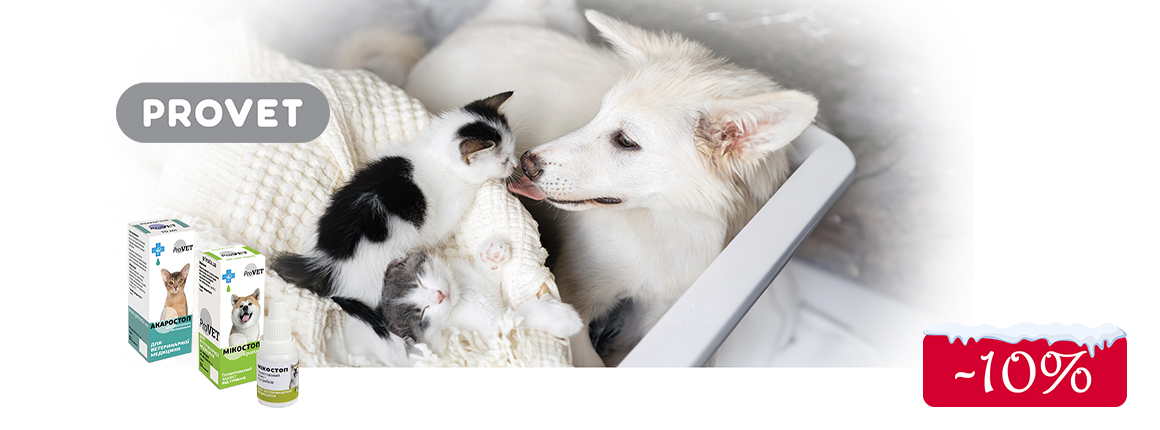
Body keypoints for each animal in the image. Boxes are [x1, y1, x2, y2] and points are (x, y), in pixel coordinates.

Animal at [360, 0, 818, 366]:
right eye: (598, 114)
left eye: (626, 141)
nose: (527, 163)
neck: (671, 227)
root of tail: (435, 50)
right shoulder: (577, 291)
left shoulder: (657, 313)